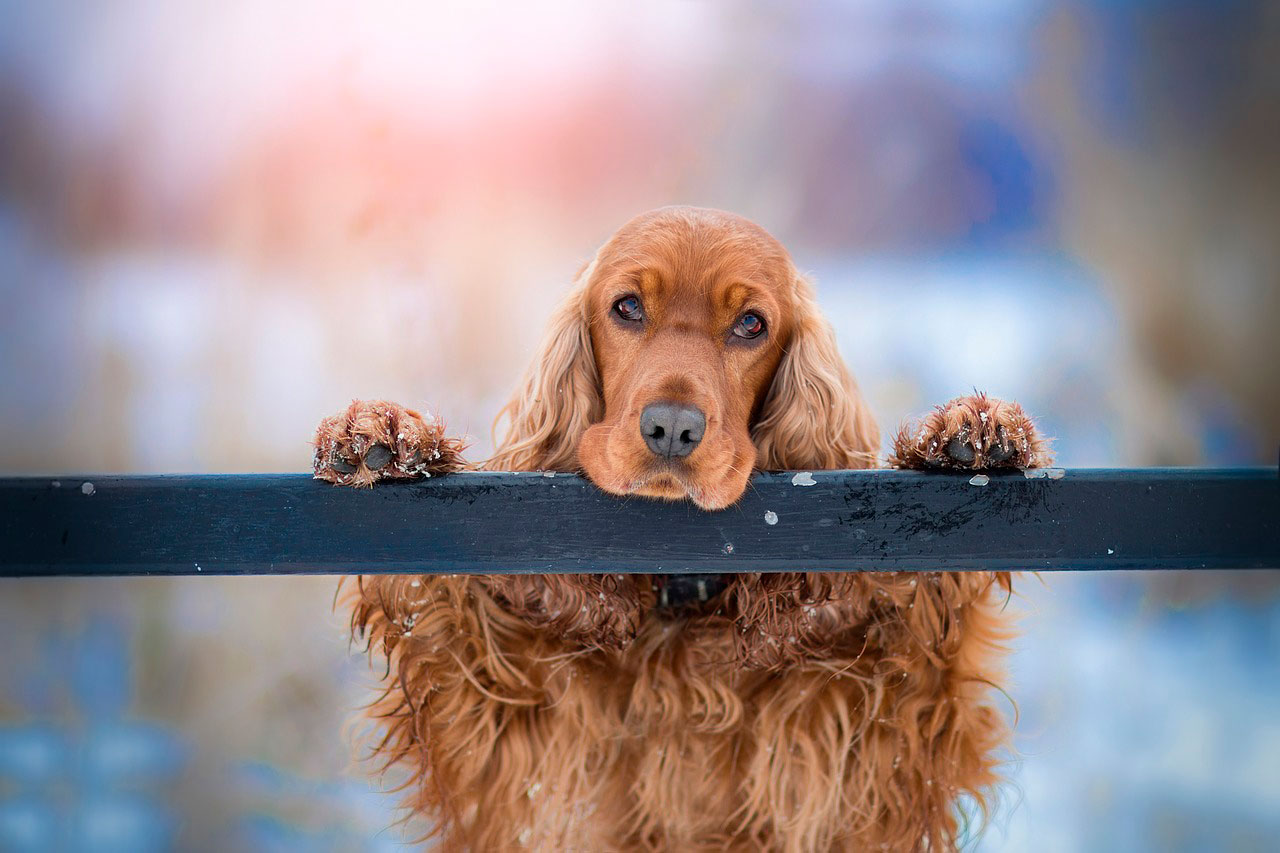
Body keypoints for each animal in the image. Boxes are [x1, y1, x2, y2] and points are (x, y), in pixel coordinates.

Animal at [312, 207, 1049, 850]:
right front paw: (384, 436)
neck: (679, 601)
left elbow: (929, 646)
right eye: (627, 307)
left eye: (751, 324)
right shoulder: (505, 741)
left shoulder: (870, 745)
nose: (671, 427)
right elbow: (442, 616)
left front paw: (966, 434)